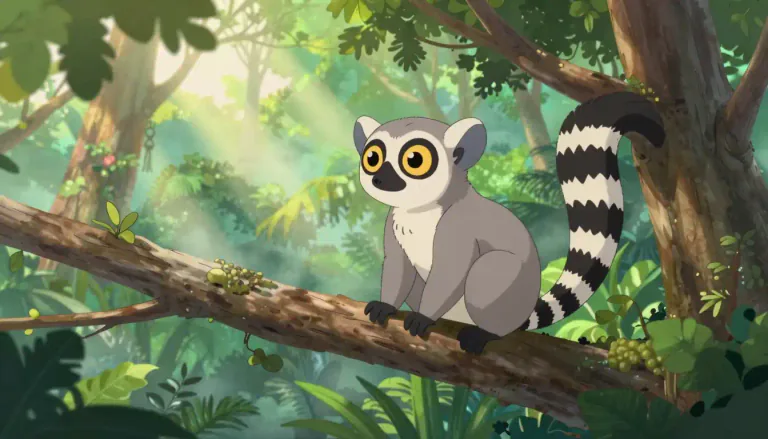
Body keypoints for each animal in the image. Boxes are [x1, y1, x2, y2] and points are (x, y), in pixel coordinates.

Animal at [353, 91, 666, 354]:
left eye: (415, 159)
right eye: (373, 157)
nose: (379, 178)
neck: (419, 211)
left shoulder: (458, 225)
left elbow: (451, 271)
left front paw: (422, 317)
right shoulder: (393, 223)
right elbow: (397, 265)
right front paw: (386, 305)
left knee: (489, 267)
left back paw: (486, 332)